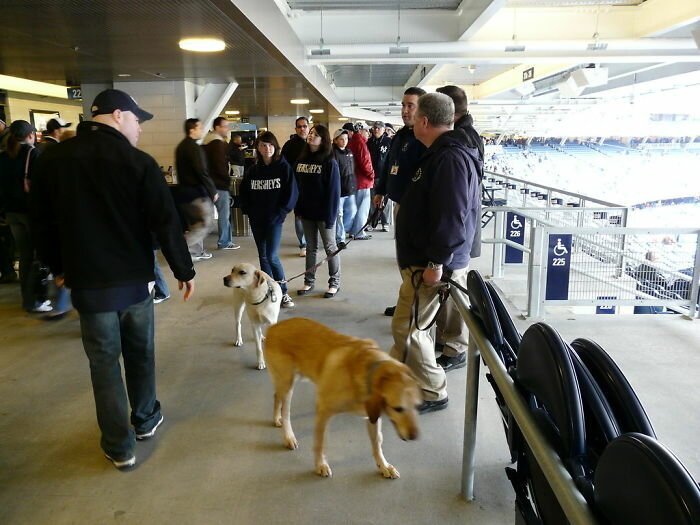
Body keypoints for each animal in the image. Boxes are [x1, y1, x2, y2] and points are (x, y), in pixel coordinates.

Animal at [264, 318, 422, 476]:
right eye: (398, 408)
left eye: (417, 406)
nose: (414, 436)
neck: (367, 371)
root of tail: (274, 327)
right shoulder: (323, 411)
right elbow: (320, 443)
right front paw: (321, 464)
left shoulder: (372, 416)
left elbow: (377, 443)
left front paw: (384, 466)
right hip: (287, 384)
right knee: (285, 411)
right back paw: (288, 436)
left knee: (276, 396)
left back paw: (277, 419)